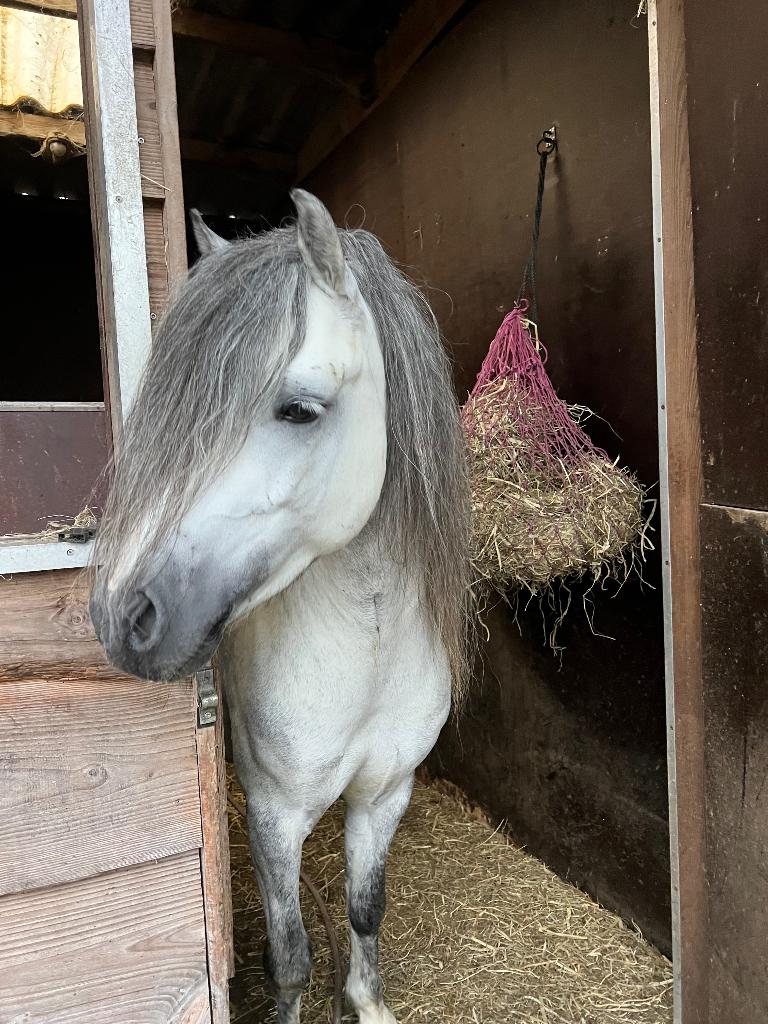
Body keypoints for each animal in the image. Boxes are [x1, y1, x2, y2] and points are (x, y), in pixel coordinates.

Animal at [89, 189, 470, 1024]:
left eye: (299, 410)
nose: (121, 615)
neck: (367, 646)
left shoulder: (385, 794)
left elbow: (366, 909)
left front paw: (367, 1000)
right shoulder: (272, 813)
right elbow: (290, 958)